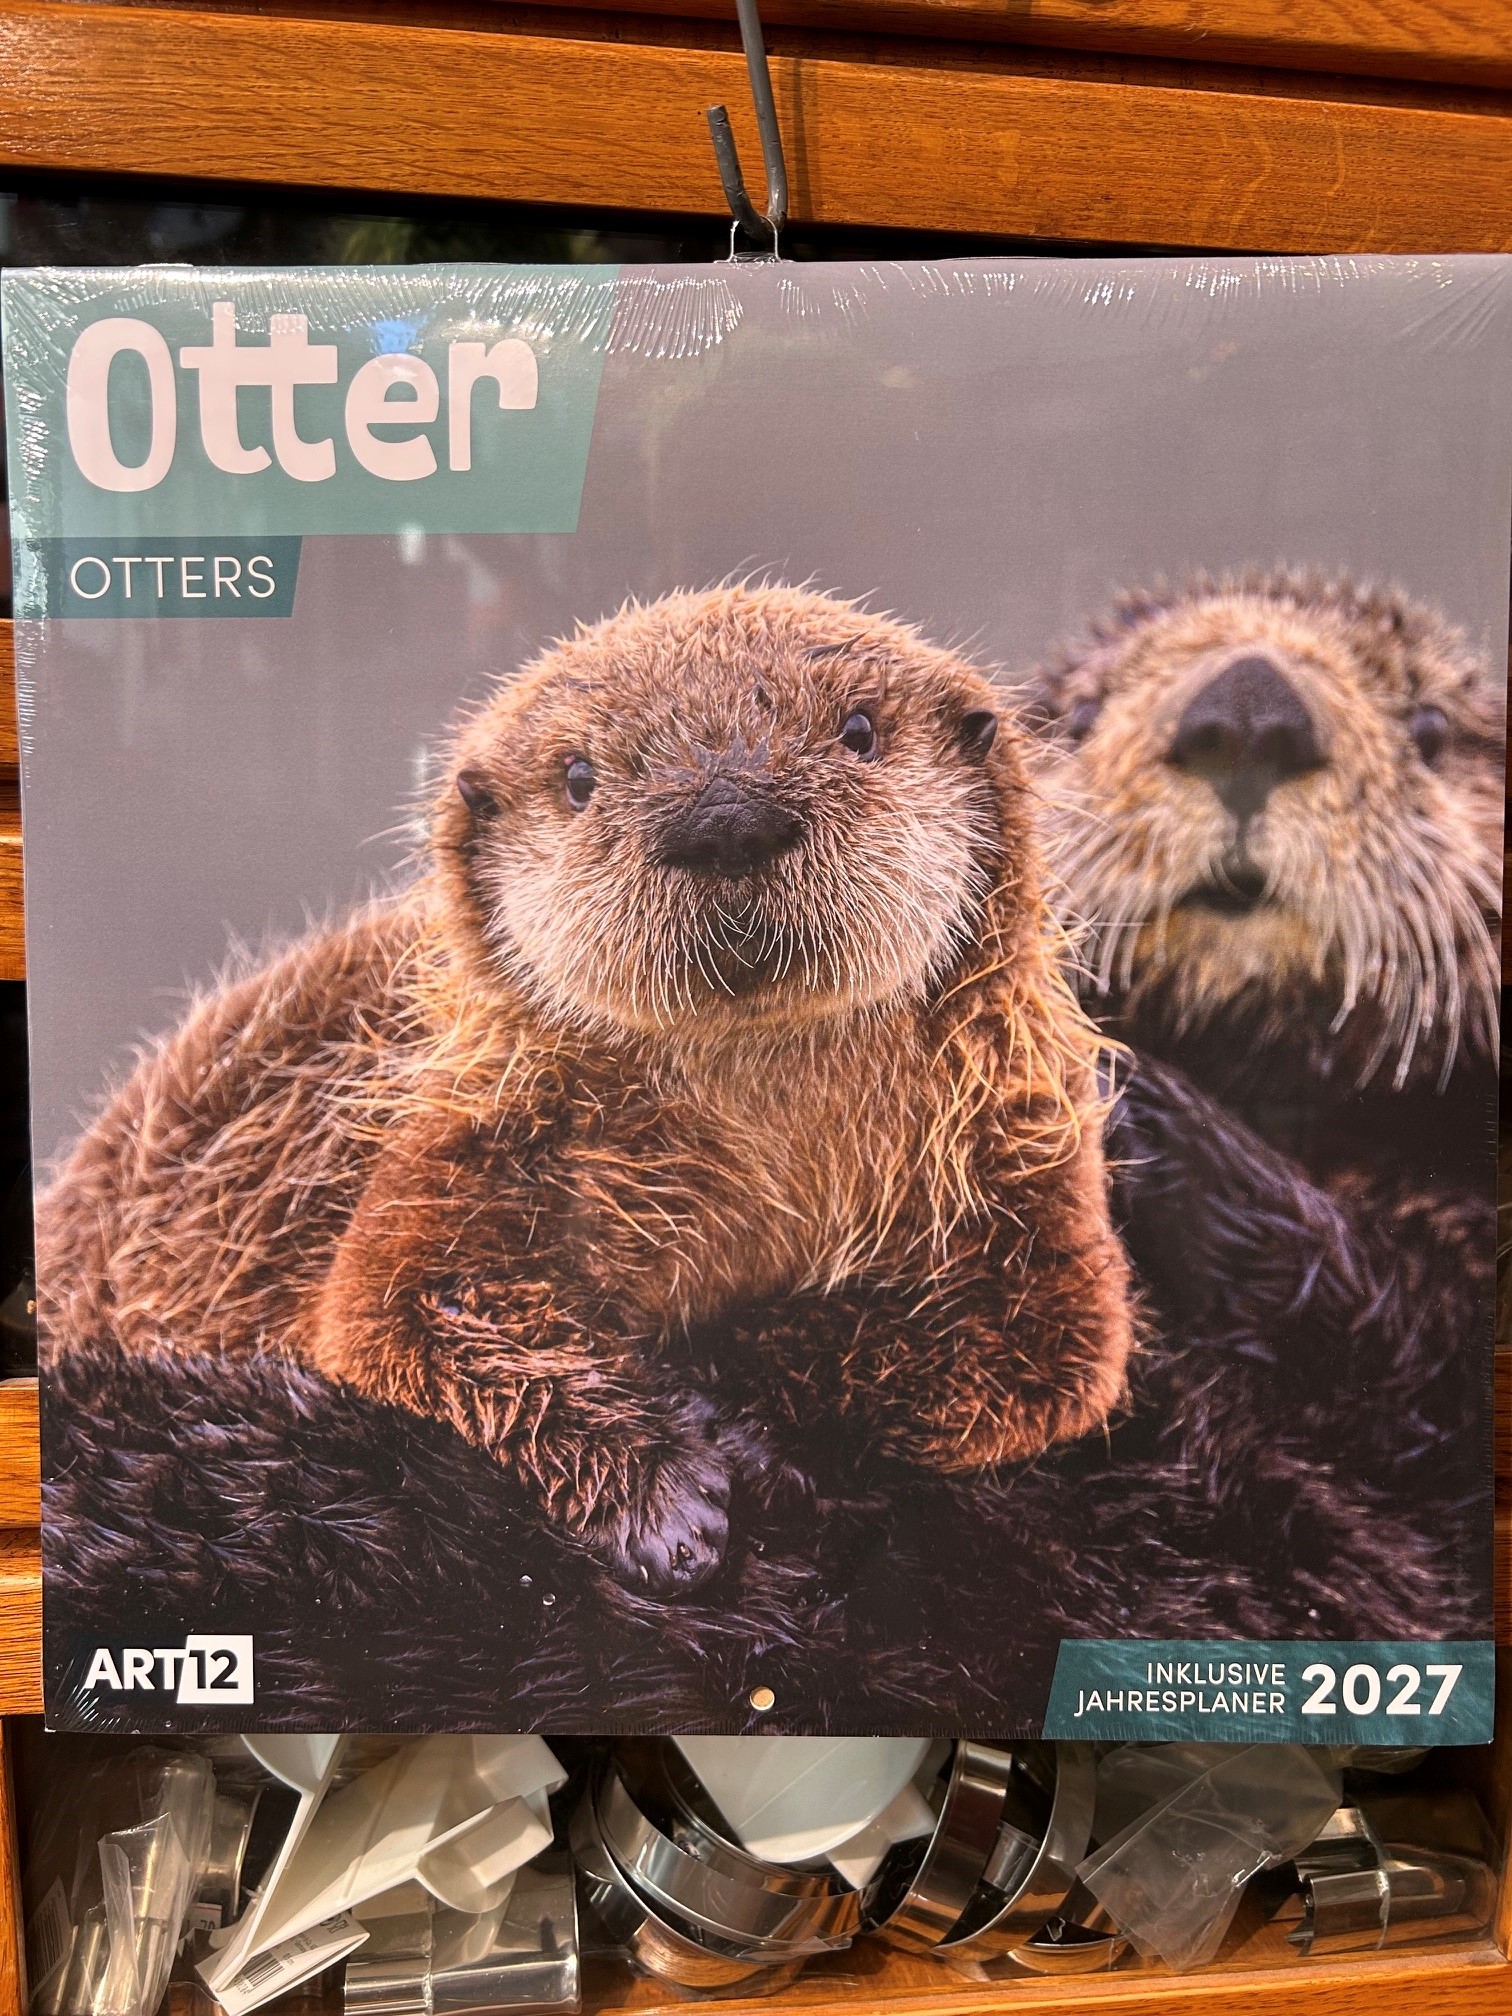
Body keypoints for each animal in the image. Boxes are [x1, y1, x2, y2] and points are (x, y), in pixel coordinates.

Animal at [39, 584, 1134, 1597]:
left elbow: (1040, 1348)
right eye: (578, 776)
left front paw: (733, 1409)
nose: (726, 817)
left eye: (859, 729)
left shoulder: (1016, 1147)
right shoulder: (480, 1134)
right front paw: (663, 1503)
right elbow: (404, 1309)